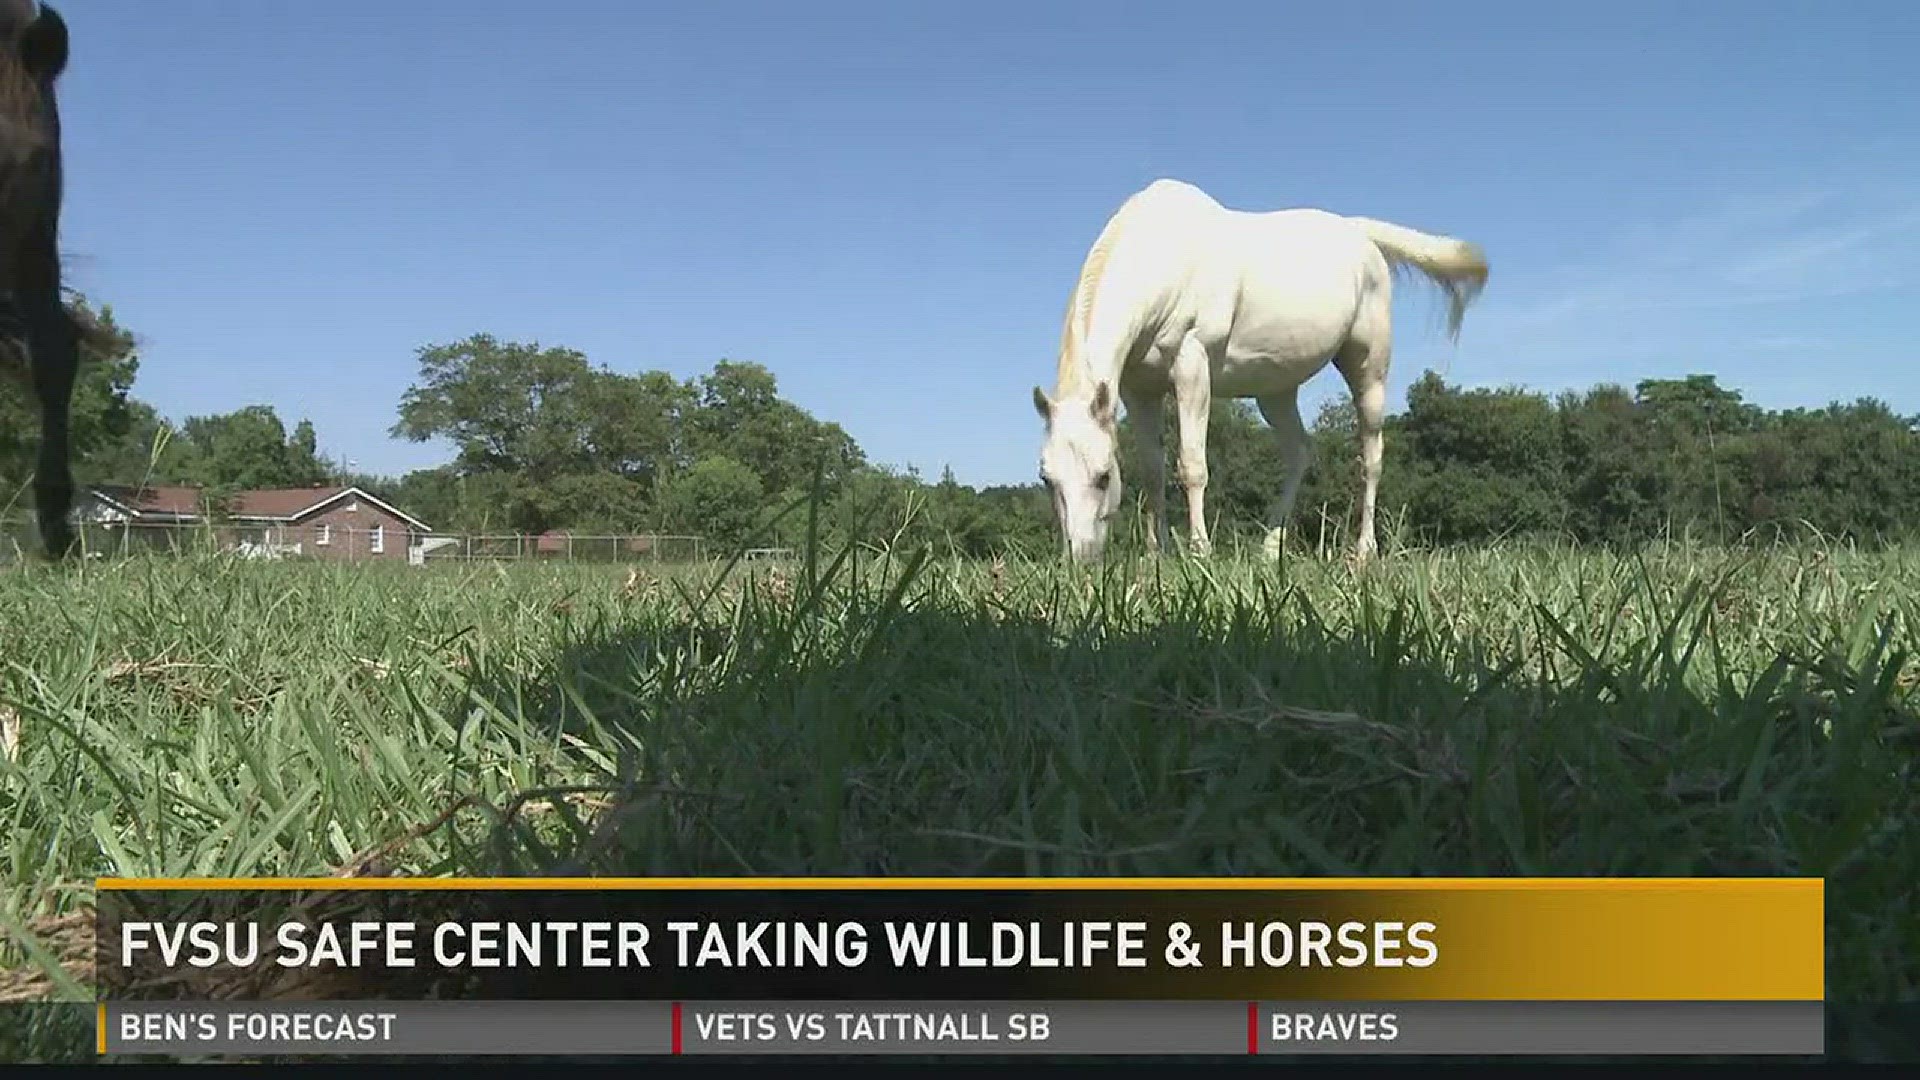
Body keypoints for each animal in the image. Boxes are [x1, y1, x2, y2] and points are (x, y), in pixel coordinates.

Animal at [1029, 176, 1489, 564]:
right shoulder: (1138, 391)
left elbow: (1191, 466)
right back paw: (1270, 548)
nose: (1080, 560)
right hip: (1275, 392)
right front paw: (1156, 556)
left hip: (1368, 370)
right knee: (1299, 452)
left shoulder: (1192, 368)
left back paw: (1363, 552)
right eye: (1047, 479)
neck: (1168, 259)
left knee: (1371, 457)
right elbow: (1153, 472)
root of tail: (1359, 234)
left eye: (1103, 477)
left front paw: (1199, 554)